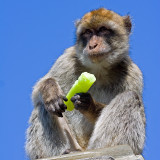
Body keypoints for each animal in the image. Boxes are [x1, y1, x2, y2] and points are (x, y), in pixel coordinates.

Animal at [25, 8, 145, 159]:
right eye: (88, 32)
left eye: (103, 30)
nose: (92, 45)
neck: (98, 69)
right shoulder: (66, 60)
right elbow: (38, 91)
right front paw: (50, 91)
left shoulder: (133, 74)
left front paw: (89, 104)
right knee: (42, 106)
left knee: (130, 97)